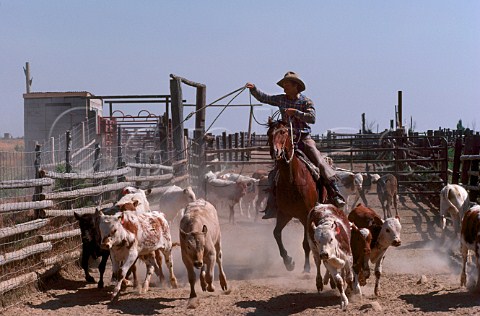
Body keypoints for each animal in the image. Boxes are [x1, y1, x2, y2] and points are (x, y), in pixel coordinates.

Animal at [266, 118, 322, 272]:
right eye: (268, 133)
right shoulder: (284, 213)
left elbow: (306, 243)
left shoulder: (306, 215)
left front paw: (307, 268)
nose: (275, 151)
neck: (292, 181)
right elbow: (276, 233)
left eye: (283, 132)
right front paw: (288, 262)